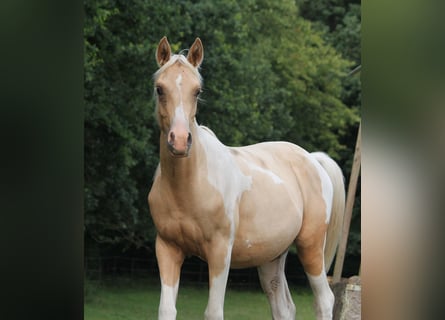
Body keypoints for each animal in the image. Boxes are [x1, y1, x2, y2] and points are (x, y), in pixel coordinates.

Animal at [147, 36, 346, 318]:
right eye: (160, 89)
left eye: (197, 91)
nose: (180, 140)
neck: (188, 185)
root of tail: (313, 160)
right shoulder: (167, 249)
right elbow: (166, 309)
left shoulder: (220, 252)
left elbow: (213, 312)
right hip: (272, 257)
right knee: (284, 307)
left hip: (311, 246)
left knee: (324, 300)